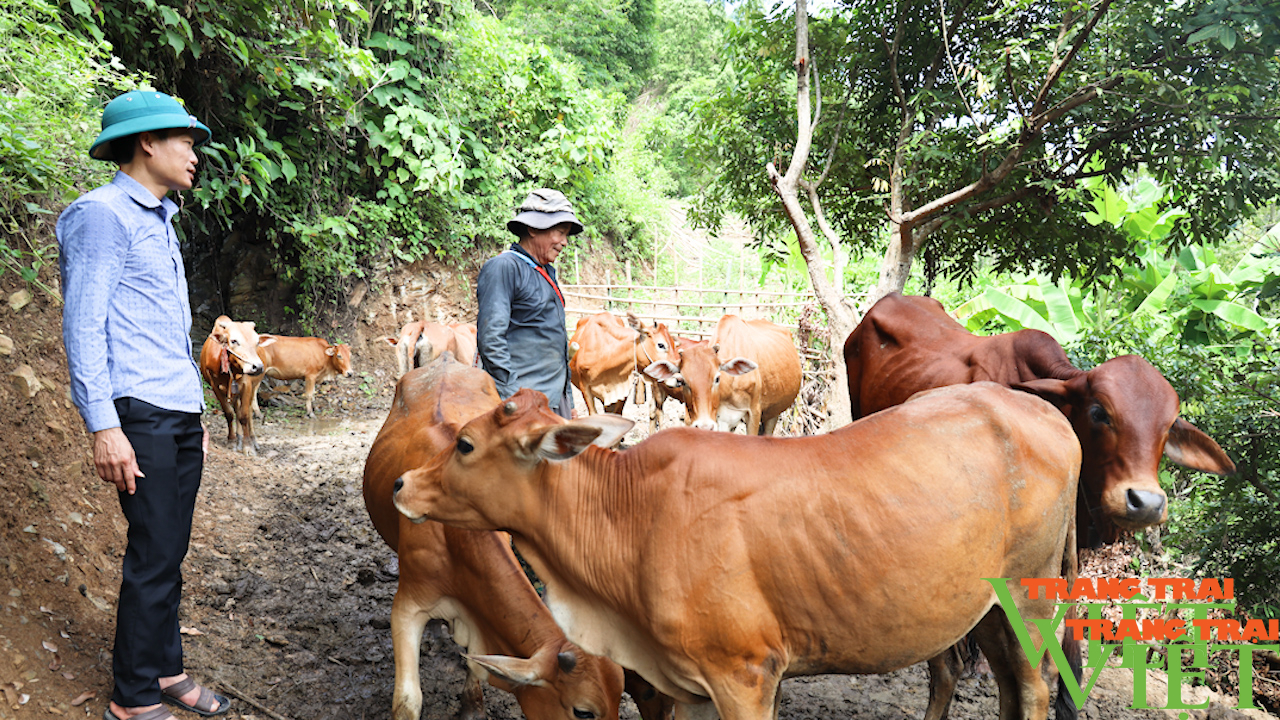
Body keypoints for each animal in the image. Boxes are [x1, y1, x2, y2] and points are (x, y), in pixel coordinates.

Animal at [197, 315, 275, 450]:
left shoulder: (247, 385)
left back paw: (253, 440)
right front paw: (232, 440)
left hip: (254, 386)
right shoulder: (215, 386)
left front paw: (247, 446)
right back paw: (238, 438)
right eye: (234, 341)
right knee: (237, 409)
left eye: (257, 342)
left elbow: (244, 416)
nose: (257, 367)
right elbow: (229, 413)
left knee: (249, 411)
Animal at [363, 353, 627, 717]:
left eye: (620, 693)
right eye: (583, 711)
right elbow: (407, 702)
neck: (451, 541)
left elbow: (476, 663)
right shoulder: (407, 606)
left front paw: (472, 703)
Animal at [389, 384, 1080, 717]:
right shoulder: (690, 686)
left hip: (1029, 600)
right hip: (982, 611)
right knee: (1005, 689)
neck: (632, 516)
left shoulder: (746, 676)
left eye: (466, 445)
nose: (401, 484)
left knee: (1035, 689)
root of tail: (1048, 413)